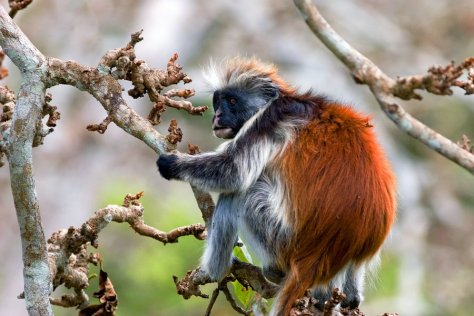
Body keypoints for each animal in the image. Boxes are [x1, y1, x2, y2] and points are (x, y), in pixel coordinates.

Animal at [158, 58, 396, 314]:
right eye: (218, 101)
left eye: (232, 101)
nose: (218, 115)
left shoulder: (271, 117)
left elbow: (233, 172)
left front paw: (170, 164)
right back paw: (346, 294)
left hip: (282, 241)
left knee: (240, 193)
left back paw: (217, 269)